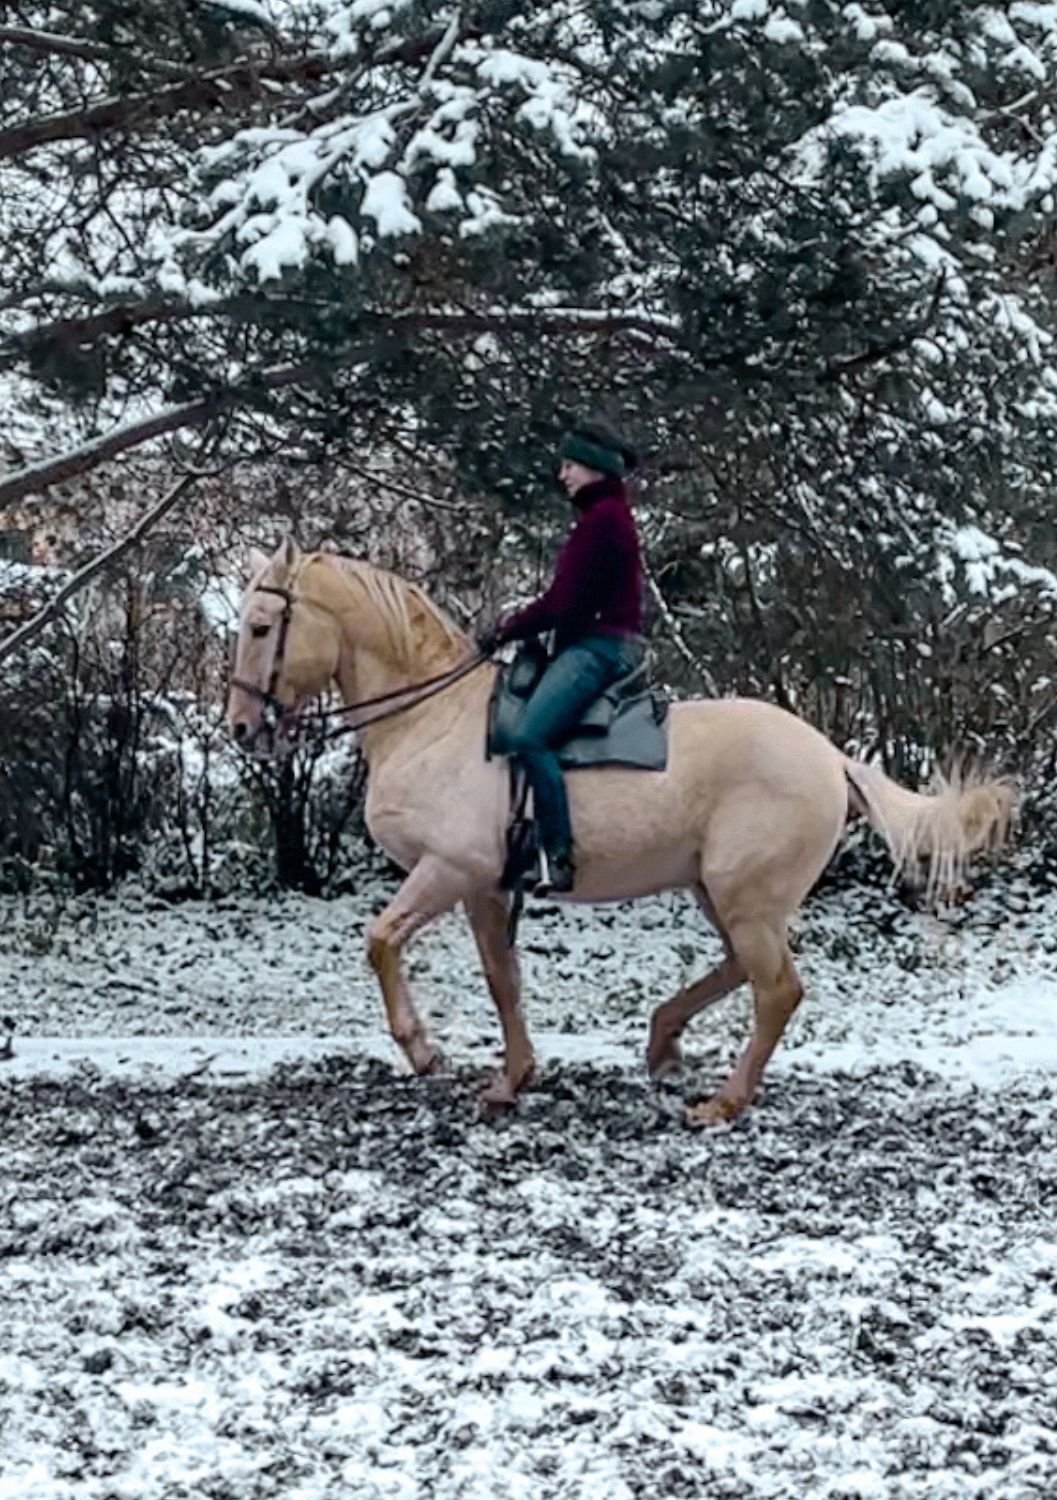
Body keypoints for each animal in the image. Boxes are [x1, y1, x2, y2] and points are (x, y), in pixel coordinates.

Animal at [224, 543, 1013, 1128]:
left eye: (262, 627)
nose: (240, 727)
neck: (433, 722)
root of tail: (830, 757)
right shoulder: (483, 887)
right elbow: (503, 980)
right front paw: (512, 1079)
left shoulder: (448, 870)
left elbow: (382, 941)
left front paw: (424, 1053)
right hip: (719, 892)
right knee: (741, 969)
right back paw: (663, 1042)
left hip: (744, 896)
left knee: (776, 990)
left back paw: (721, 1103)